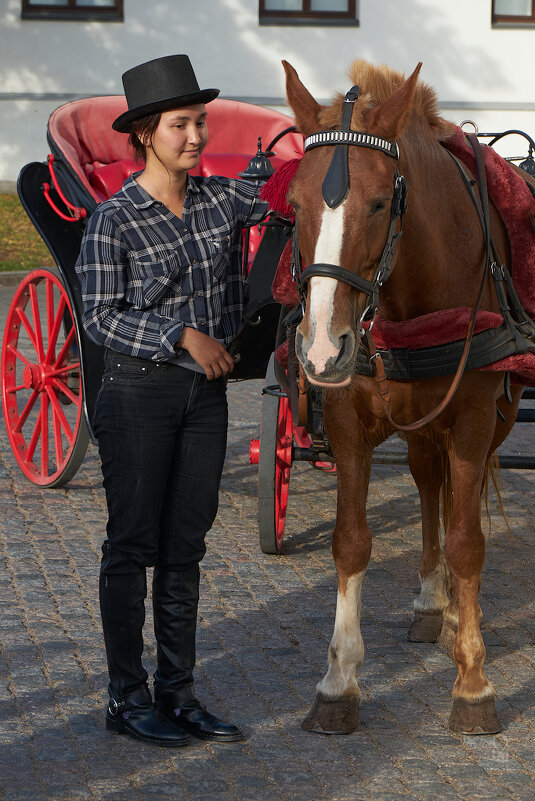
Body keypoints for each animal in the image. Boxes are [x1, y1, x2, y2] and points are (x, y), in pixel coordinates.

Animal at [284, 61, 528, 736]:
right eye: (294, 204)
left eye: (377, 202)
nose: (321, 348)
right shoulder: (346, 418)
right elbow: (350, 540)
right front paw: (339, 681)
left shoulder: (472, 418)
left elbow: (468, 541)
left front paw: (473, 683)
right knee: (426, 480)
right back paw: (431, 604)